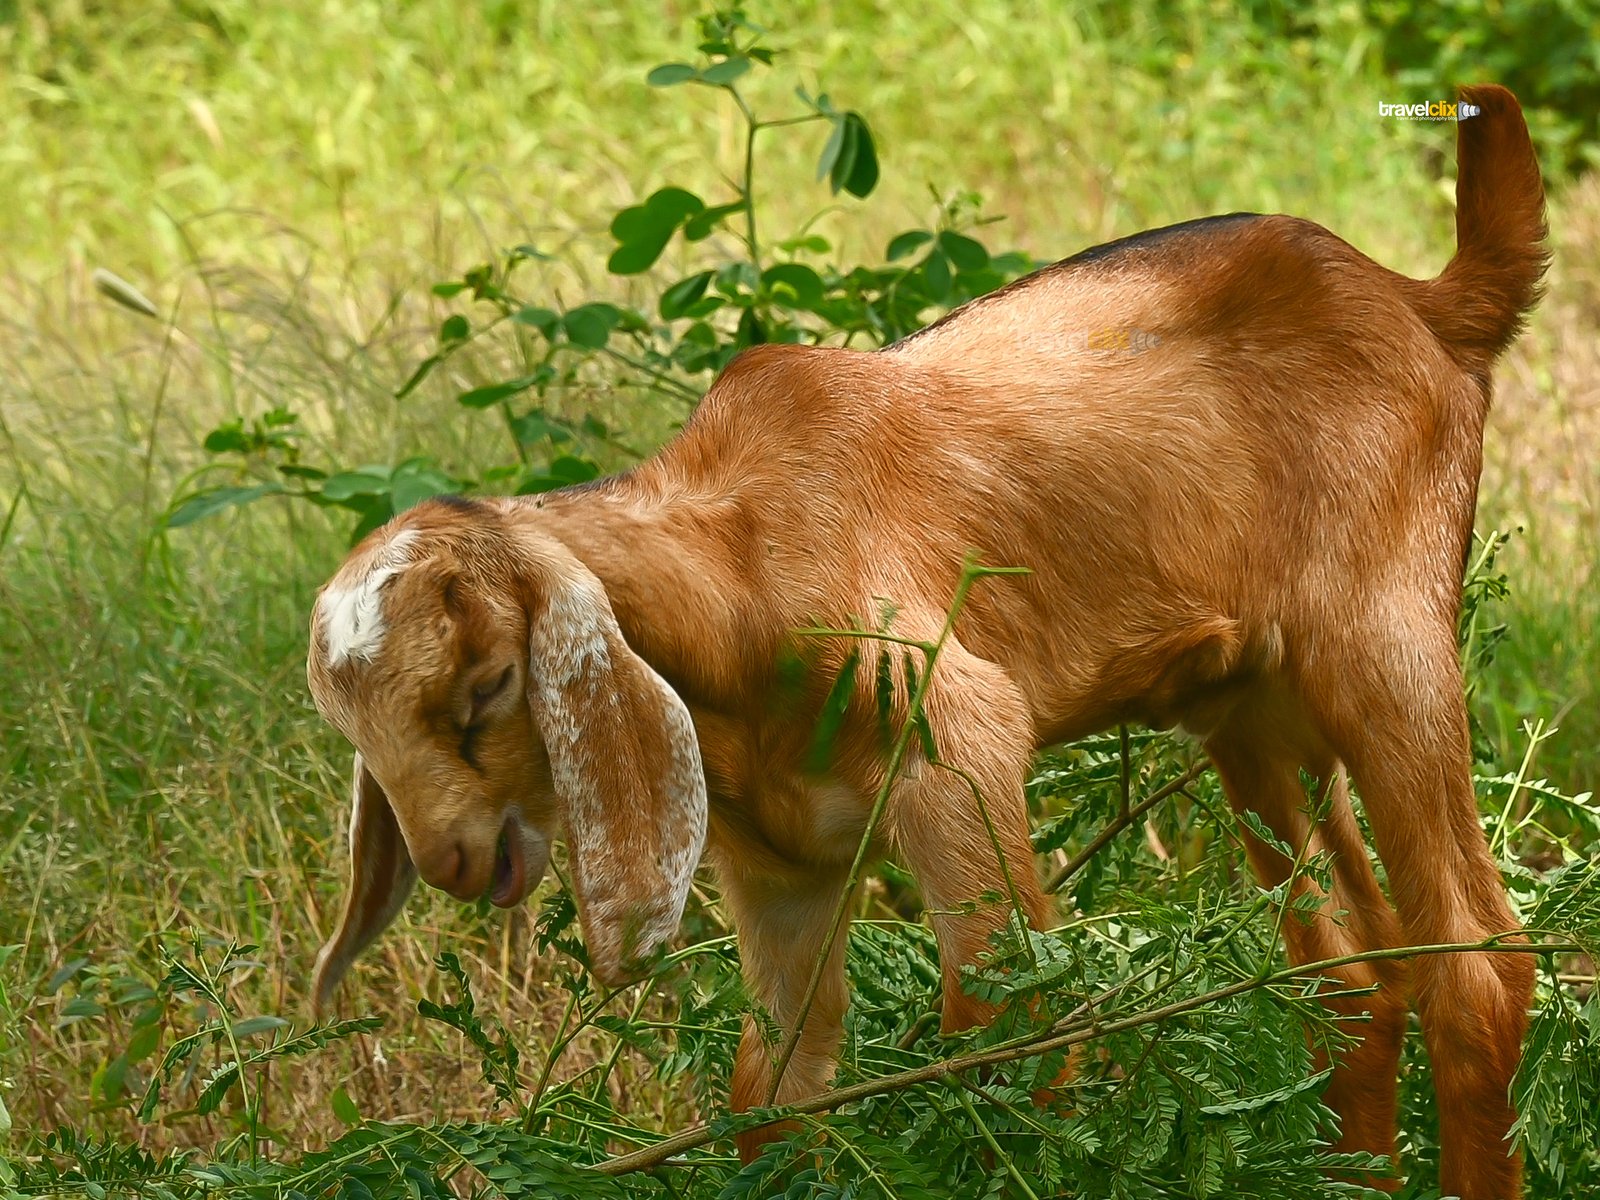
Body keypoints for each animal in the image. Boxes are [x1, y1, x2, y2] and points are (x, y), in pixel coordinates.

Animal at [308, 86, 1548, 1200]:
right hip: (1248, 707)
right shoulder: (783, 867)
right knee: (1353, 977)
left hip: (1383, 641)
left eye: (487, 685)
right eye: (354, 732)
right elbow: (771, 1096)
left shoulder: (962, 751)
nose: (451, 860)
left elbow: (1004, 1040)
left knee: (1478, 964)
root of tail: (1419, 299)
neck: (736, 562)